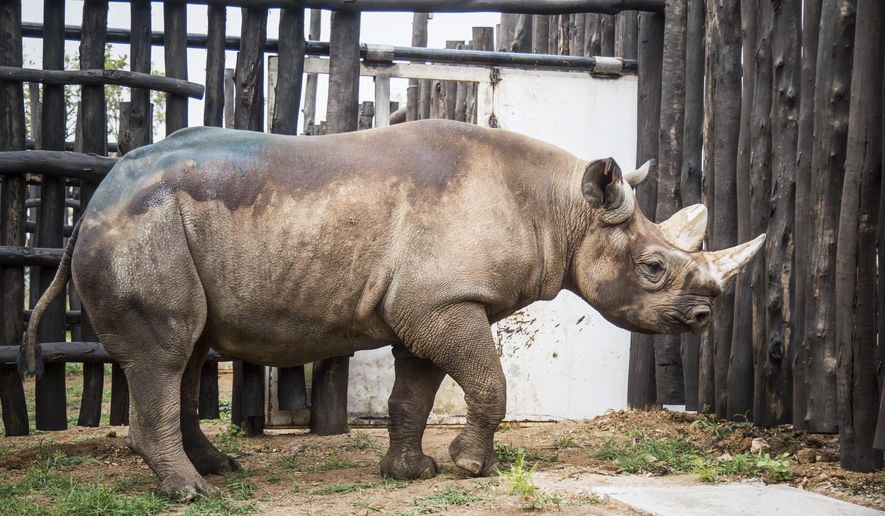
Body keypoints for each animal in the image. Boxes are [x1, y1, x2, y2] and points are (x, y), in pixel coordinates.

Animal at [25, 120, 764, 499]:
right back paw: (194, 495)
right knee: (165, 352)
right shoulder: (445, 300)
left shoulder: (427, 302)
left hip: (160, 224)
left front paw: (412, 473)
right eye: (653, 268)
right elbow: (487, 382)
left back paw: (217, 470)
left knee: (190, 352)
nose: (703, 319)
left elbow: (414, 392)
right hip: (141, 228)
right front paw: (470, 468)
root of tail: (93, 201)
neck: (564, 209)